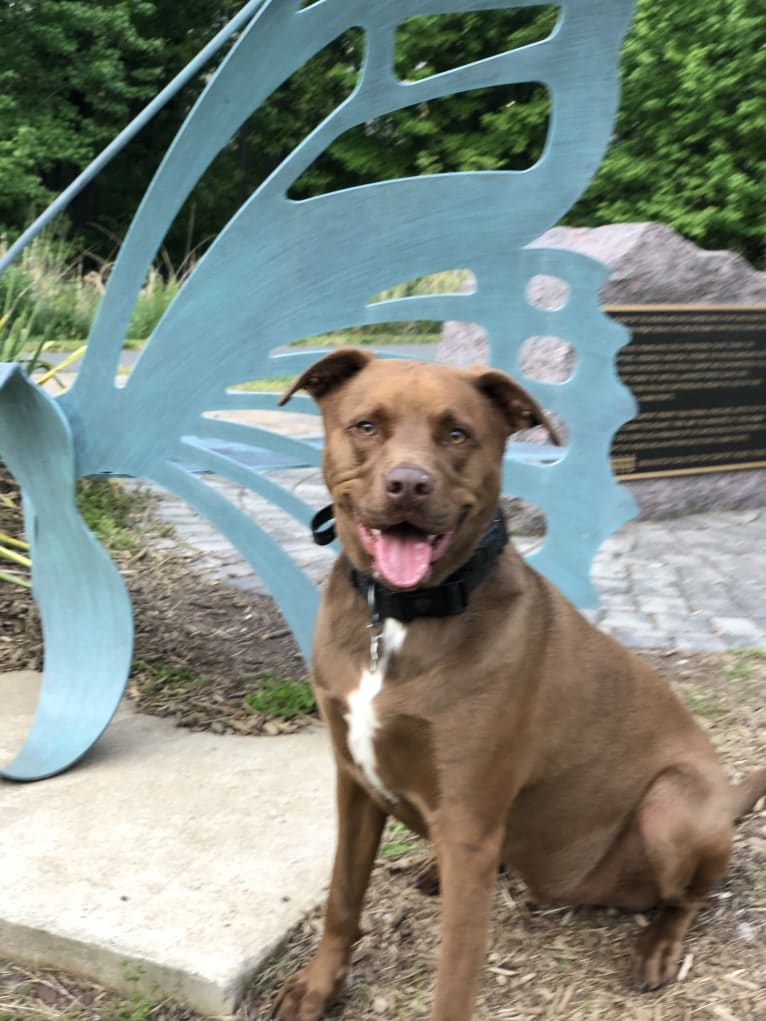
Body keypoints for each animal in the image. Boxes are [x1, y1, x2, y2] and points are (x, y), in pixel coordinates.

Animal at [273, 347, 763, 1016]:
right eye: (366, 426)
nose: (409, 484)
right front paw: (319, 987)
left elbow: (454, 979)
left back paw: (658, 946)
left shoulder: (469, 825)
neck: (401, 618)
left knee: (687, 897)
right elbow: (343, 896)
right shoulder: (354, 782)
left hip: (672, 807)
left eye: (457, 434)